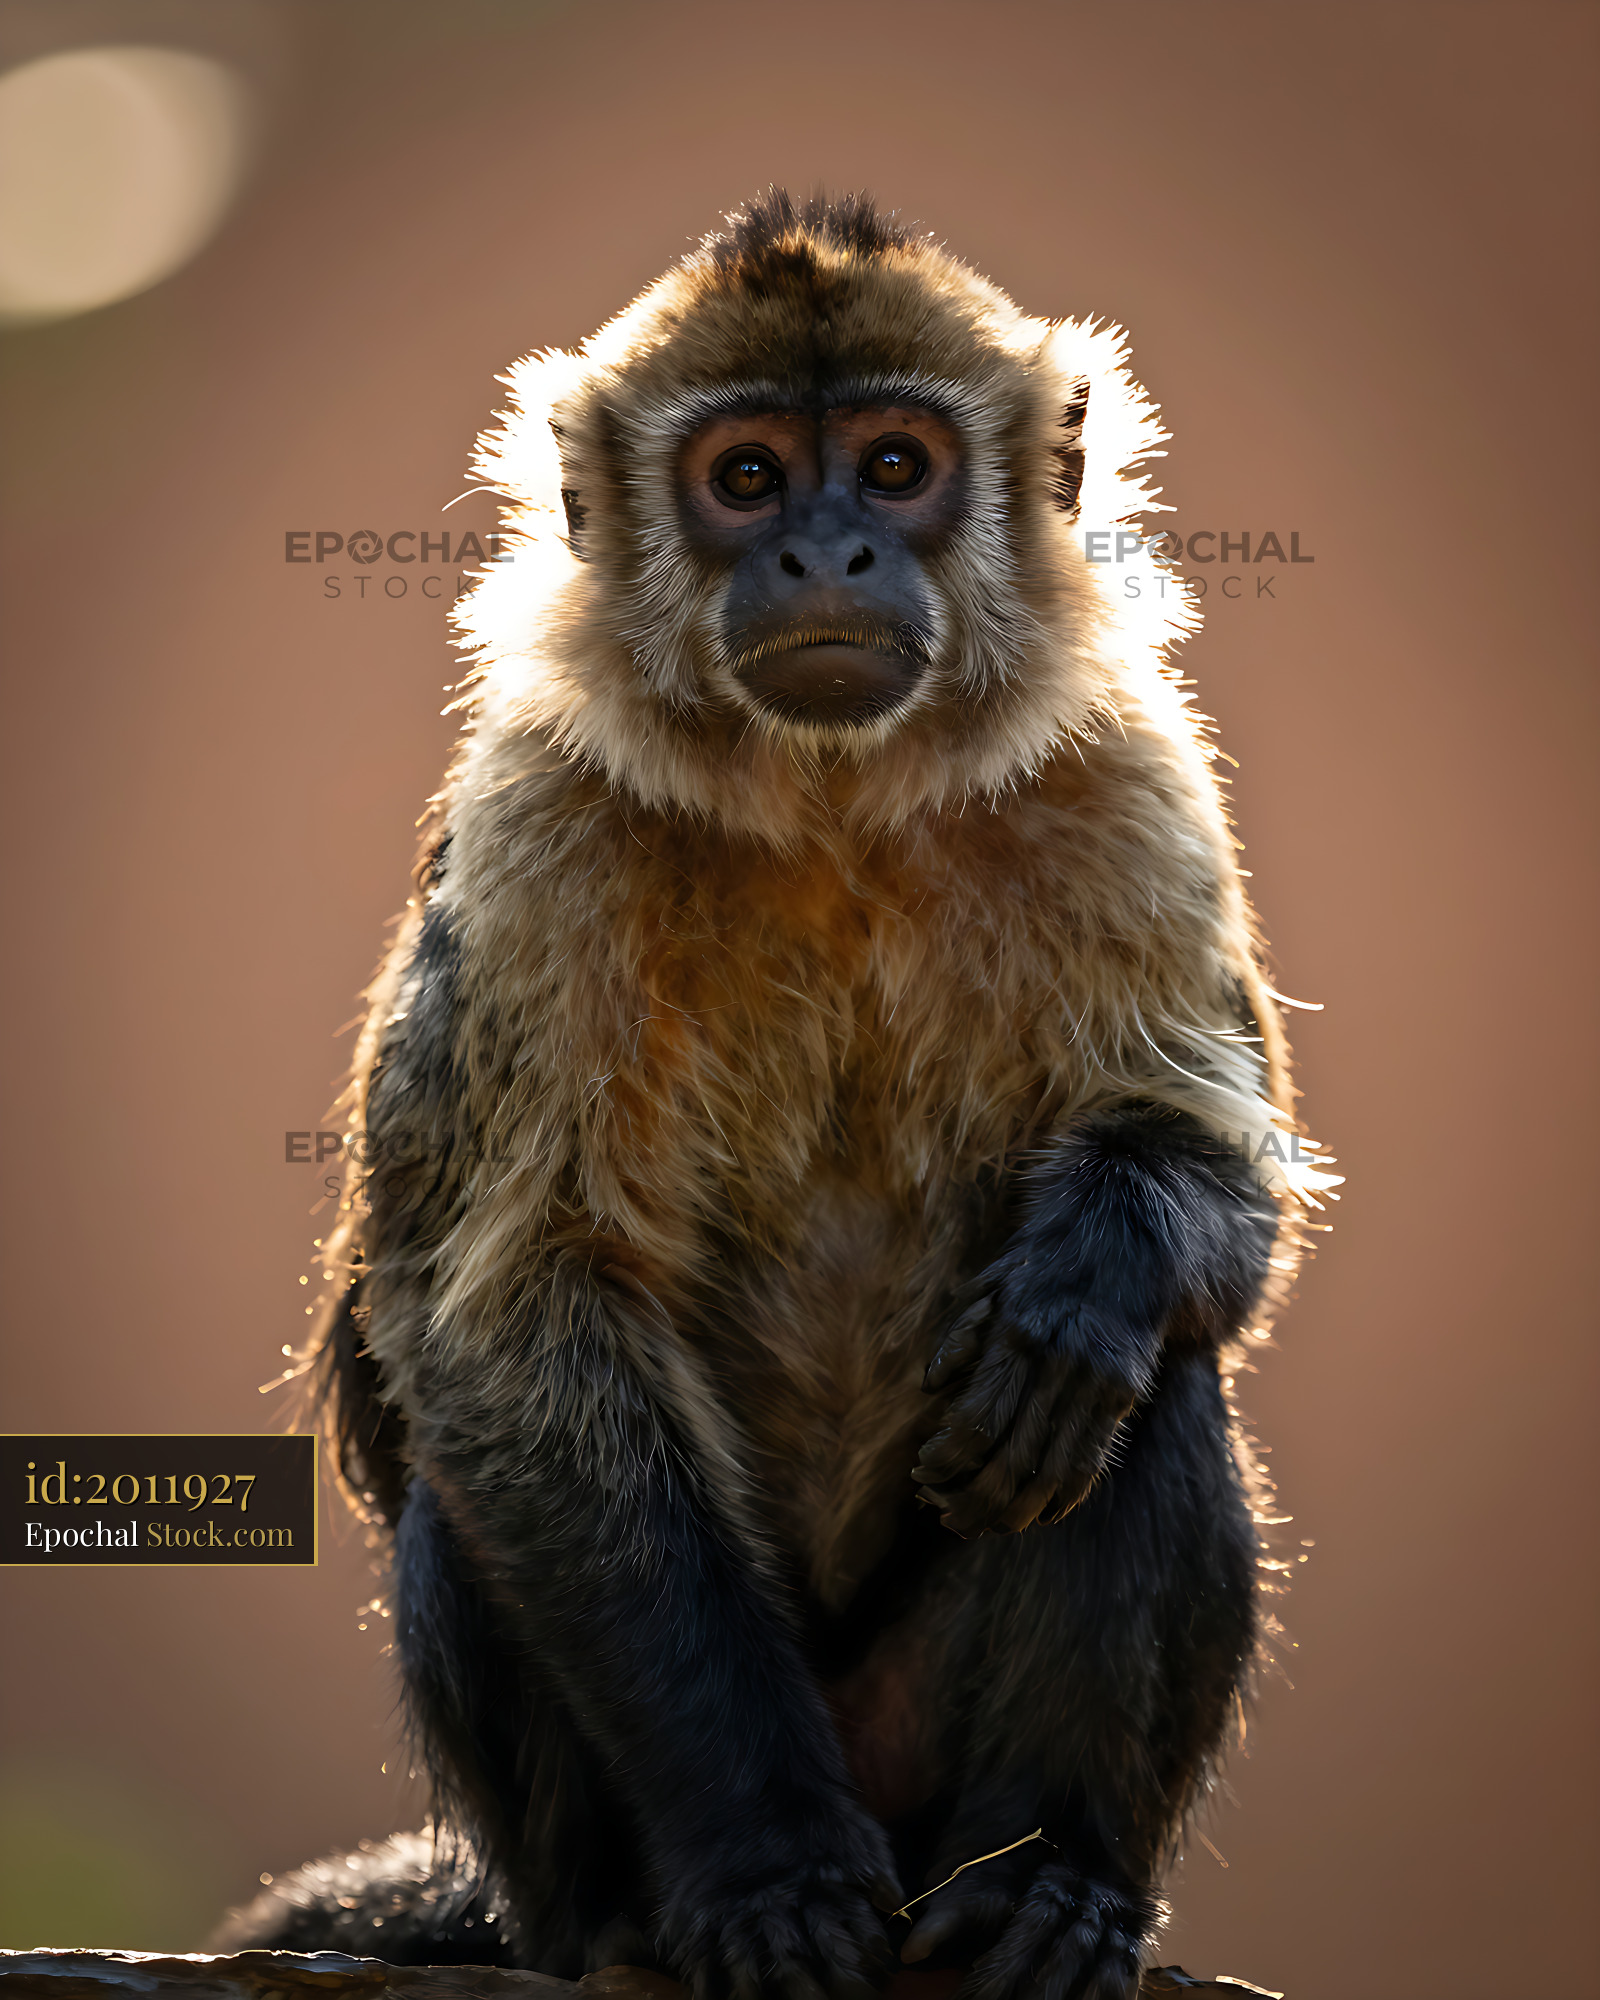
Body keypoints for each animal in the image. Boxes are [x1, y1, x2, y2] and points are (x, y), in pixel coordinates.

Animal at [216, 192, 1333, 1998]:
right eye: (746, 478)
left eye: (890, 467)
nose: (824, 553)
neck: (834, 809)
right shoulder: (538, 816)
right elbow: (502, 1327)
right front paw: (763, 1866)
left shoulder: (1125, 767)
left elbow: (1214, 1171)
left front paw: (1096, 1265)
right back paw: (645, 1922)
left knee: (1139, 1390)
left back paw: (1047, 1884)